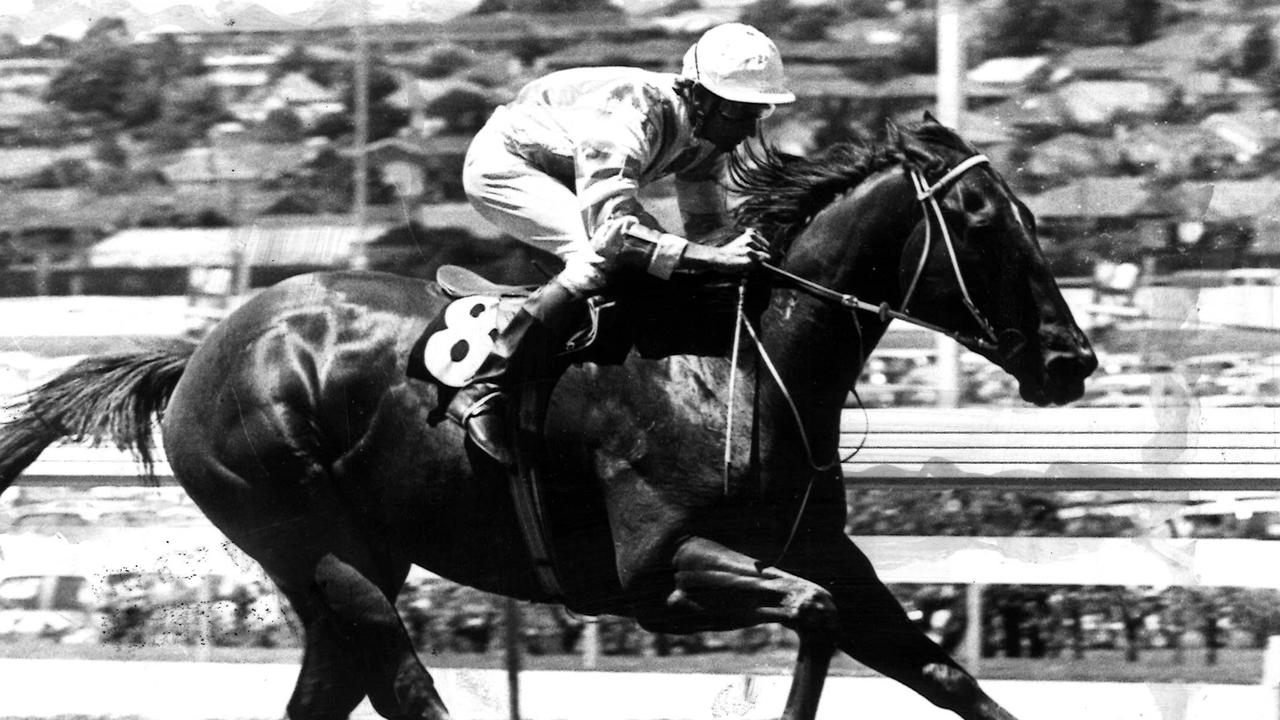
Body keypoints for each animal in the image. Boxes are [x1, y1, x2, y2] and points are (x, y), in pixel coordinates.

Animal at [0, 117, 1095, 717]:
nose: (1070, 361)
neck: (735, 367)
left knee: (333, 687)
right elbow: (813, 617)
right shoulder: (656, 576)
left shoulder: (829, 557)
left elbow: (944, 676)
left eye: (1030, 217)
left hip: (355, 558)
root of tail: (200, 353)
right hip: (309, 537)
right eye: (981, 220)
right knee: (398, 682)